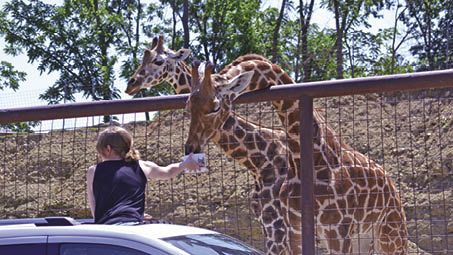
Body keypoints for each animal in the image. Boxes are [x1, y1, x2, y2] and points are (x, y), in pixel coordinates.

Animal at [184, 62, 406, 255]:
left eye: (215, 107)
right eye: (187, 106)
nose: (190, 147)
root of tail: (392, 185)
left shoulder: (329, 228)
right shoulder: (289, 226)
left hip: (391, 233)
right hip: (364, 236)